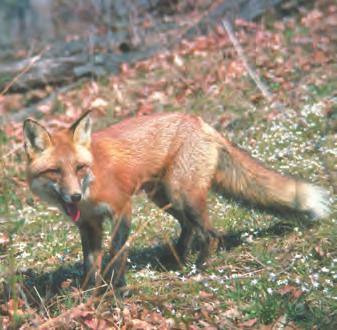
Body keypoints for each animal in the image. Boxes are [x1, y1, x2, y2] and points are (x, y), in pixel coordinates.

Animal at [23, 112, 328, 288]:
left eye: (79, 168)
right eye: (55, 171)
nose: (74, 195)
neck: (92, 184)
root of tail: (199, 121)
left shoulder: (122, 209)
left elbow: (117, 252)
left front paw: (116, 289)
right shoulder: (89, 224)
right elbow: (90, 264)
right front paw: (88, 296)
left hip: (182, 194)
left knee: (211, 234)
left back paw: (197, 270)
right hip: (163, 197)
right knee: (189, 227)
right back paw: (177, 260)